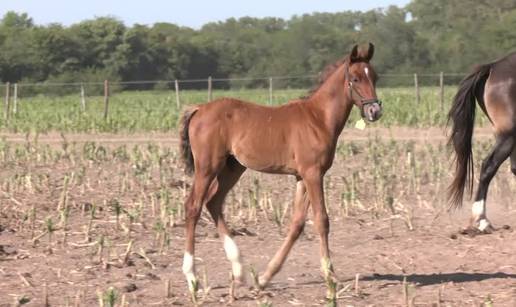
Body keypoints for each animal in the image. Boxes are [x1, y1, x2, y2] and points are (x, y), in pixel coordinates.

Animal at [179, 43, 380, 294]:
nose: (375, 111)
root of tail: (199, 108)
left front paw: (265, 277)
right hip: (207, 167)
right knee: (193, 206)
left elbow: (297, 224)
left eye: (375, 77)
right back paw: (192, 278)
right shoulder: (313, 174)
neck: (318, 118)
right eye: (355, 78)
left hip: (232, 168)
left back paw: (239, 269)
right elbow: (322, 220)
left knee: (213, 202)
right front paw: (330, 276)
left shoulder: (302, 177)